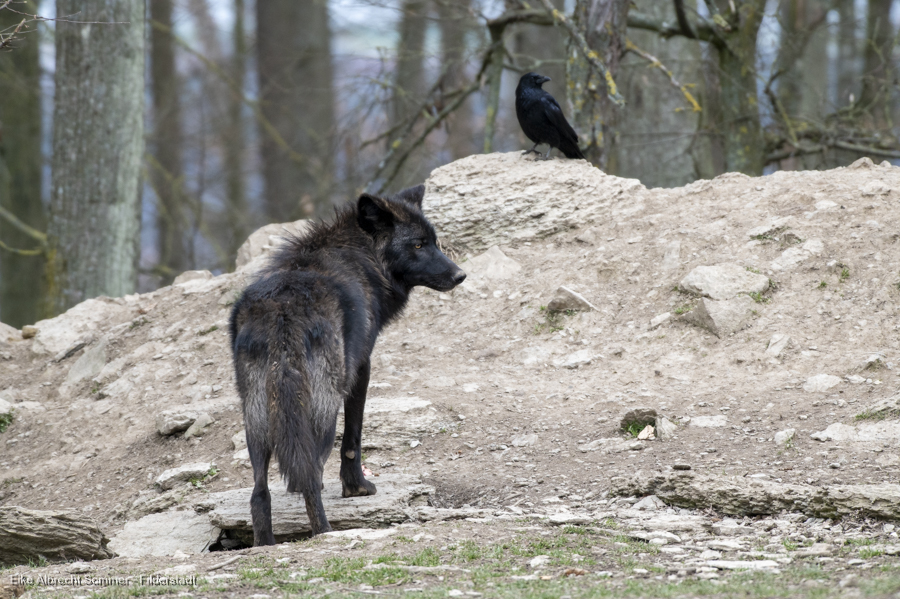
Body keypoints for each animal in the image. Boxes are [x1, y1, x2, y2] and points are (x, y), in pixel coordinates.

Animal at [229, 185, 465, 544]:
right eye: (418, 244)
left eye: (434, 242)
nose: (459, 275)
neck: (360, 257)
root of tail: (283, 310)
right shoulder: (362, 368)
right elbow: (353, 438)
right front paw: (357, 487)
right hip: (321, 413)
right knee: (311, 475)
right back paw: (324, 532)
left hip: (256, 419)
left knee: (259, 491)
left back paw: (264, 544)